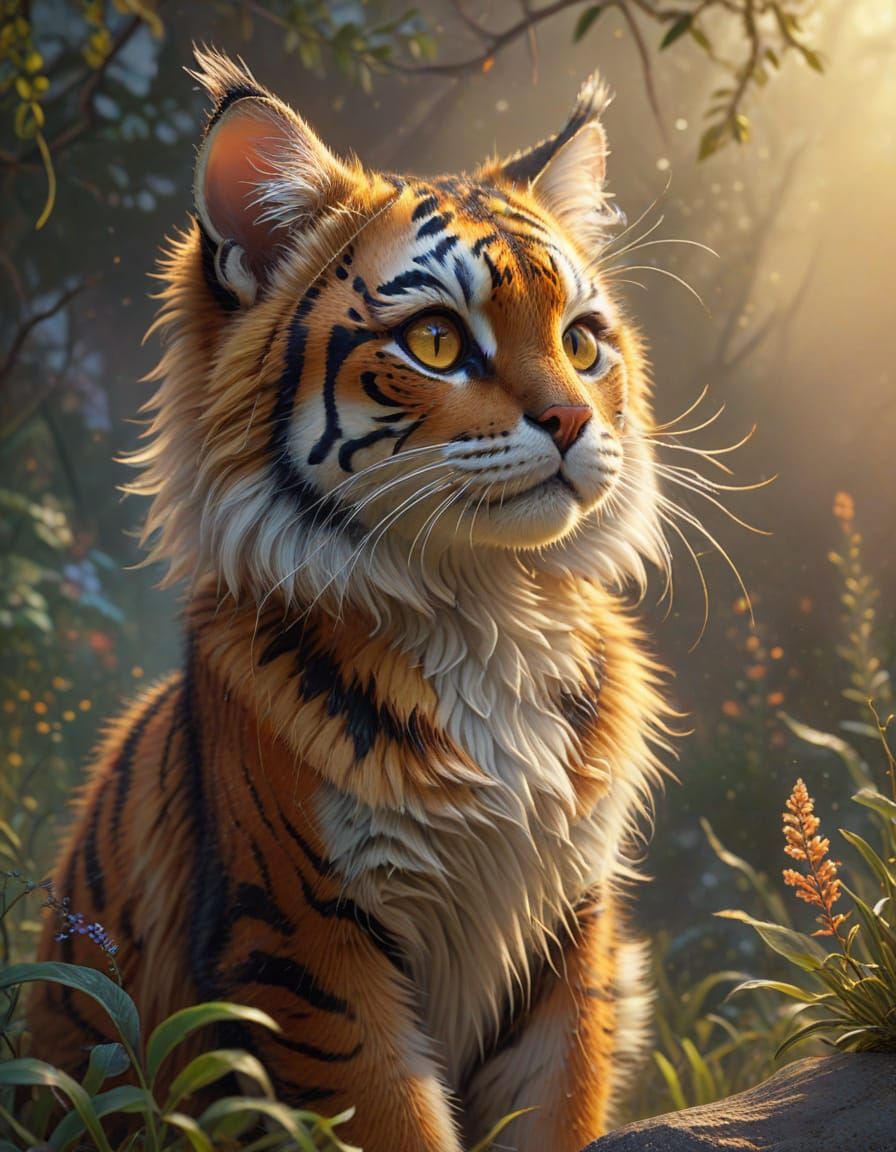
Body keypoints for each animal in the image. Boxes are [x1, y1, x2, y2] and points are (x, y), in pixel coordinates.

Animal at [31, 47, 674, 1152]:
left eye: (583, 341)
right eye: (436, 340)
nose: (574, 418)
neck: (486, 607)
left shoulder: (567, 937)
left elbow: (557, 1106)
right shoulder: (307, 950)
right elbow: (390, 1118)